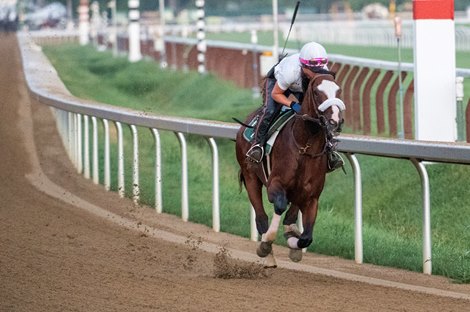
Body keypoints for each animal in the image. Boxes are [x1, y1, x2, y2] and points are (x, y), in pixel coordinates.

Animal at [235, 72, 346, 266]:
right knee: (261, 217)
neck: (305, 146)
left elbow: (306, 237)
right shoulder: (274, 185)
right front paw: (267, 242)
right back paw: (268, 252)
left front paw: (295, 244)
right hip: (250, 177)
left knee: (292, 211)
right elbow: (279, 205)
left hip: (298, 190)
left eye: (338, 90)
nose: (335, 121)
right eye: (316, 92)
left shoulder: (312, 196)